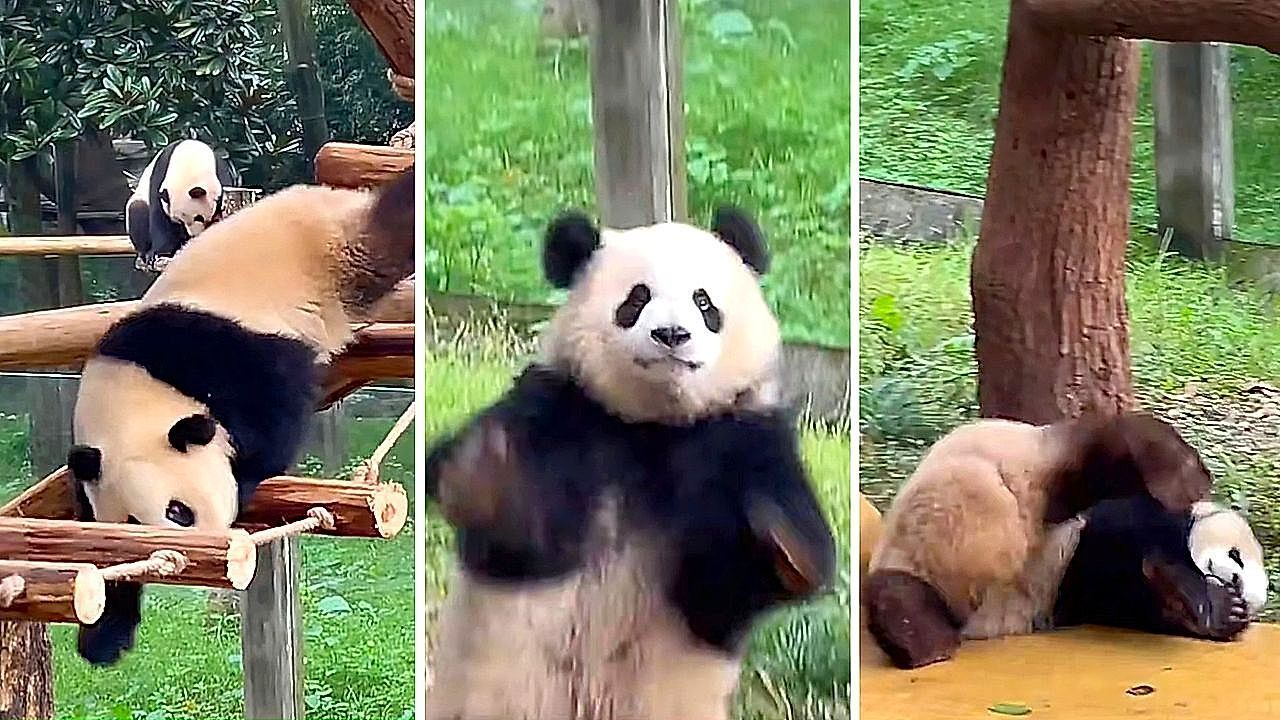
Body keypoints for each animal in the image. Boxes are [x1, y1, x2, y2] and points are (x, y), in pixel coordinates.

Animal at [68, 166, 415, 665]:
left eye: (178, 511)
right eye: (133, 522)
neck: (137, 388)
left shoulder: (235, 355)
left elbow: (273, 423)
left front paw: (245, 479)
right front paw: (104, 634)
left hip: (338, 253)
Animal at [126, 139, 235, 271]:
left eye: (198, 217)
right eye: (180, 222)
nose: (193, 235)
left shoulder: (221, 173)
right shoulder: (159, 180)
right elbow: (160, 218)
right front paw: (157, 253)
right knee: (137, 210)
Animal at [423, 209, 837, 719]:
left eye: (704, 302)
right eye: (637, 298)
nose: (672, 335)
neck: (652, 426)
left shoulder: (744, 436)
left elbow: (728, 580)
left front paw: (777, 539)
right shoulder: (567, 410)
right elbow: (527, 534)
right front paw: (483, 469)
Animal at [863, 414, 1259, 670]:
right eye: (1236, 555)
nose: (1236, 583)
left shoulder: (1089, 590)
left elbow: (1134, 596)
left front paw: (1223, 611)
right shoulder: (1113, 525)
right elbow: (1127, 532)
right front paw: (1199, 595)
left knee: (908, 597)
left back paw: (920, 640)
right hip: (985, 496)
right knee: (1090, 459)